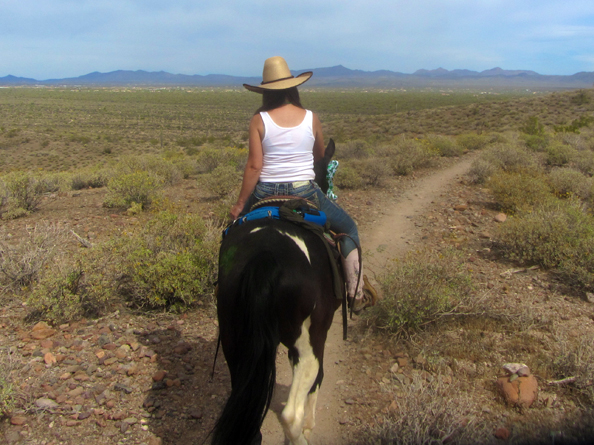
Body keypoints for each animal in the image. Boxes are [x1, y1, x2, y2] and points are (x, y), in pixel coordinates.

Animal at [213, 140, 342, 442]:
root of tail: (265, 257)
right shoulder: (321, 334)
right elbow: (318, 382)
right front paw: (310, 423)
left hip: (234, 340)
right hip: (306, 342)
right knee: (291, 413)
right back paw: (300, 434)